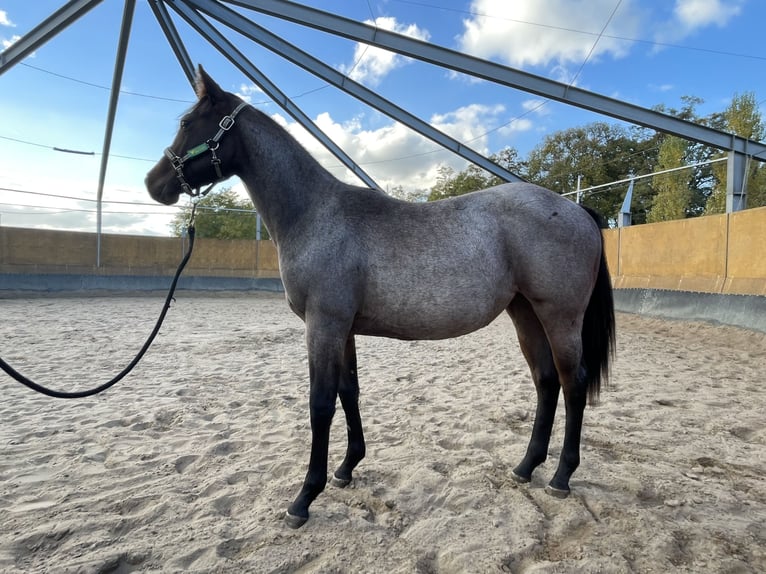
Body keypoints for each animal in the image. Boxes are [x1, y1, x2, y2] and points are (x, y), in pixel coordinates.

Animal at [147, 66, 616, 532]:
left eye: (187, 123)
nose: (155, 184)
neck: (314, 214)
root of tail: (577, 210)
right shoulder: (343, 329)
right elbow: (348, 392)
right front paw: (346, 468)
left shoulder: (324, 324)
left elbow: (321, 404)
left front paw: (304, 498)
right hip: (525, 314)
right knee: (546, 381)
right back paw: (525, 467)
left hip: (560, 317)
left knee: (573, 383)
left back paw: (561, 477)